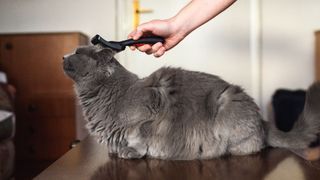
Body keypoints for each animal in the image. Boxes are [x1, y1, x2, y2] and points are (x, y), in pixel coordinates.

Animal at [62, 44, 320, 160]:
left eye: (77, 52)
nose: (63, 55)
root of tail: (263, 120)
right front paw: (116, 151)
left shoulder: (150, 107)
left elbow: (140, 136)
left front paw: (131, 151)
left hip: (226, 105)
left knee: (253, 145)